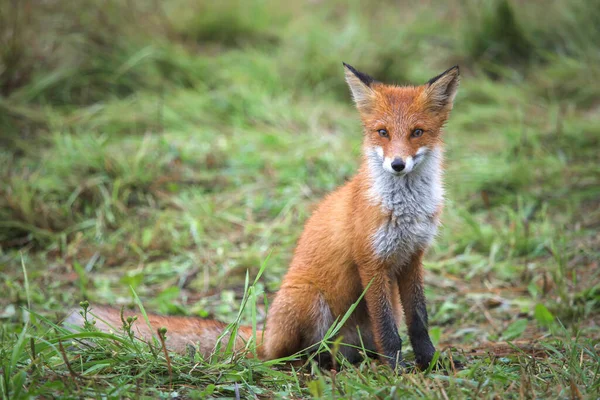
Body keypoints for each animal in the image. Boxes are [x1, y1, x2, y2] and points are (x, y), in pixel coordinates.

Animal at [65, 64, 460, 370]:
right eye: (383, 132)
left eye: (417, 133)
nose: (397, 165)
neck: (405, 210)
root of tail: (265, 335)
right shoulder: (372, 263)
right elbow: (389, 331)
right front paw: (398, 370)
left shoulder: (412, 258)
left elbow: (419, 322)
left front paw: (430, 362)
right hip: (309, 303)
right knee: (287, 356)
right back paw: (318, 364)